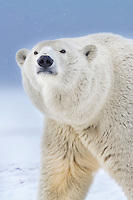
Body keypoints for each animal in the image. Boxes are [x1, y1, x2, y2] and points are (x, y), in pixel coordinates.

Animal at [16, 33, 132, 200]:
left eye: (63, 50)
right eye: (35, 52)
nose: (44, 60)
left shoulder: (120, 126)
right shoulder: (65, 128)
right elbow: (64, 174)